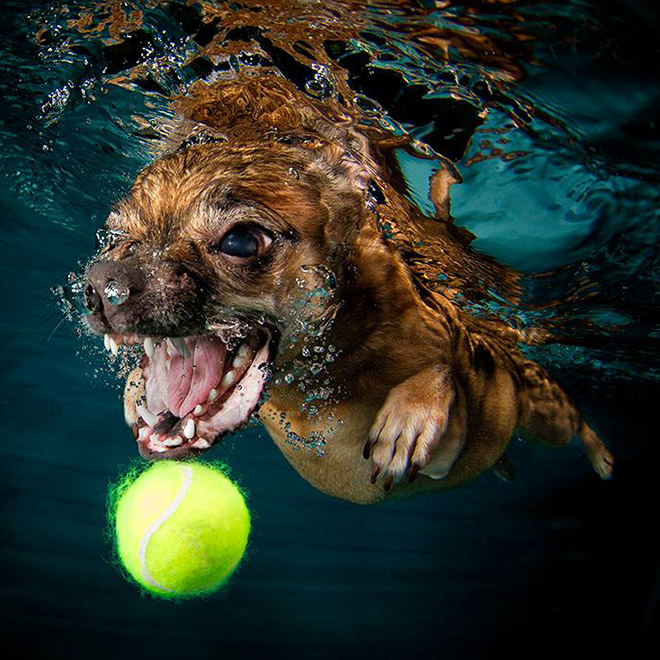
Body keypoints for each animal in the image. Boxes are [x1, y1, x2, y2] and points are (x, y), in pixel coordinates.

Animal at [82, 73, 612, 506]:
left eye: (240, 242)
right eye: (117, 239)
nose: (103, 280)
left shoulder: (462, 416)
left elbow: (443, 371)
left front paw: (411, 414)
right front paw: (136, 388)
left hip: (540, 411)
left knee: (571, 419)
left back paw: (601, 454)